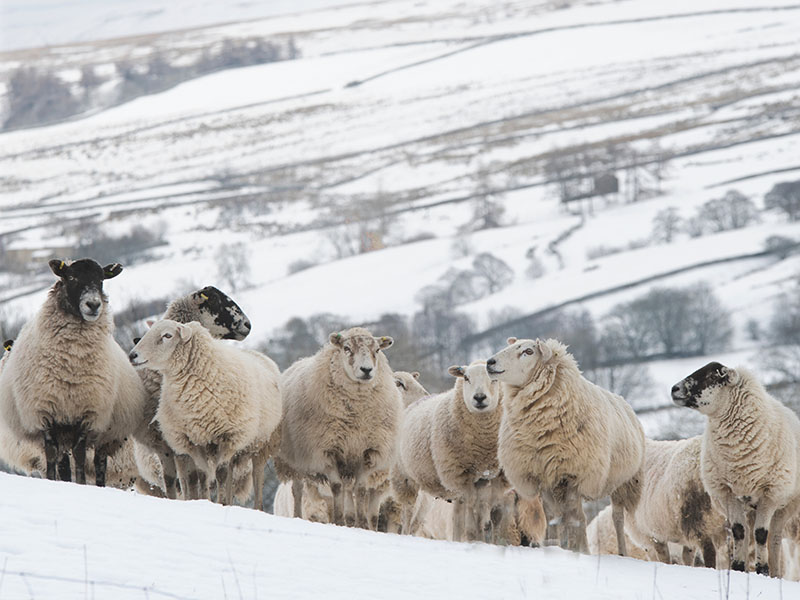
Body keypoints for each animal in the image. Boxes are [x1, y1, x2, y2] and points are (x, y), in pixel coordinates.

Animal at [0, 258, 147, 485]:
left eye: (101, 280)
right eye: (70, 277)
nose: (94, 305)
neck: (72, 364)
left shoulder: (88, 414)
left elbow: (79, 455)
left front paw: (81, 483)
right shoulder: (46, 412)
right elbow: (52, 455)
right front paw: (54, 481)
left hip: (107, 434)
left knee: (99, 463)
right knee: (63, 459)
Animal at [129, 319, 281, 507]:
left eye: (167, 335)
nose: (132, 355)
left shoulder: (229, 436)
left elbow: (221, 474)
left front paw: (220, 502)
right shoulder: (194, 439)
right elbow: (201, 475)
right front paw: (203, 500)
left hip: (261, 444)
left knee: (257, 477)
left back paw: (255, 506)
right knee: (228, 474)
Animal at [278, 327, 402, 528]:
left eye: (377, 350)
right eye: (346, 348)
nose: (366, 370)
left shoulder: (366, 451)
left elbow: (360, 489)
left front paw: (361, 524)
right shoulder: (327, 450)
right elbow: (336, 487)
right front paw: (337, 520)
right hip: (295, 459)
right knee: (297, 490)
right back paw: (298, 516)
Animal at [487, 337, 645, 555]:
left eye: (528, 351)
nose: (490, 362)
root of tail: (624, 402)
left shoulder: (574, 473)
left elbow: (576, 517)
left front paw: (582, 549)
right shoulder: (543, 474)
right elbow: (553, 517)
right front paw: (553, 546)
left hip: (624, 481)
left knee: (617, 518)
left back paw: (621, 552)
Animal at [672, 362, 800, 577]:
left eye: (711, 376)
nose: (674, 389)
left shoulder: (770, 493)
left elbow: (761, 534)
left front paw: (762, 570)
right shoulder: (727, 493)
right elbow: (739, 531)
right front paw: (739, 567)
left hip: (785, 504)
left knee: (773, 536)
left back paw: (774, 571)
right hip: (748, 507)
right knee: (748, 533)